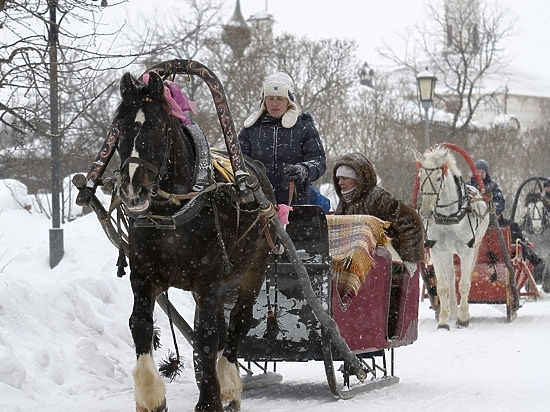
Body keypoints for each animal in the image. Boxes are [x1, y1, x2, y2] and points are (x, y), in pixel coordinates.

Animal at [113, 71, 276, 412]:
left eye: (158, 128)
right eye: (119, 128)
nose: (133, 190)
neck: (172, 210)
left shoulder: (208, 278)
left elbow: (206, 336)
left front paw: (210, 400)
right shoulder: (144, 274)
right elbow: (140, 324)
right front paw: (151, 397)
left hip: (253, 270)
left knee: (238, 322)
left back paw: (229, 384)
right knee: (222, 328)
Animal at [416, 146, 490, 330]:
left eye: (438, 177)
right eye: (420, 176)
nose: (426, 212)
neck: (448, 217)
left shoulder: (467, 250)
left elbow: (464, 285)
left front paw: (463, 319)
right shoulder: (436, 251)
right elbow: (442, 287)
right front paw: (443, 321)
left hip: (476, 246)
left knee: (467, 277)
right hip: (447, 252)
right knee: (450, 278)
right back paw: (452, 311)